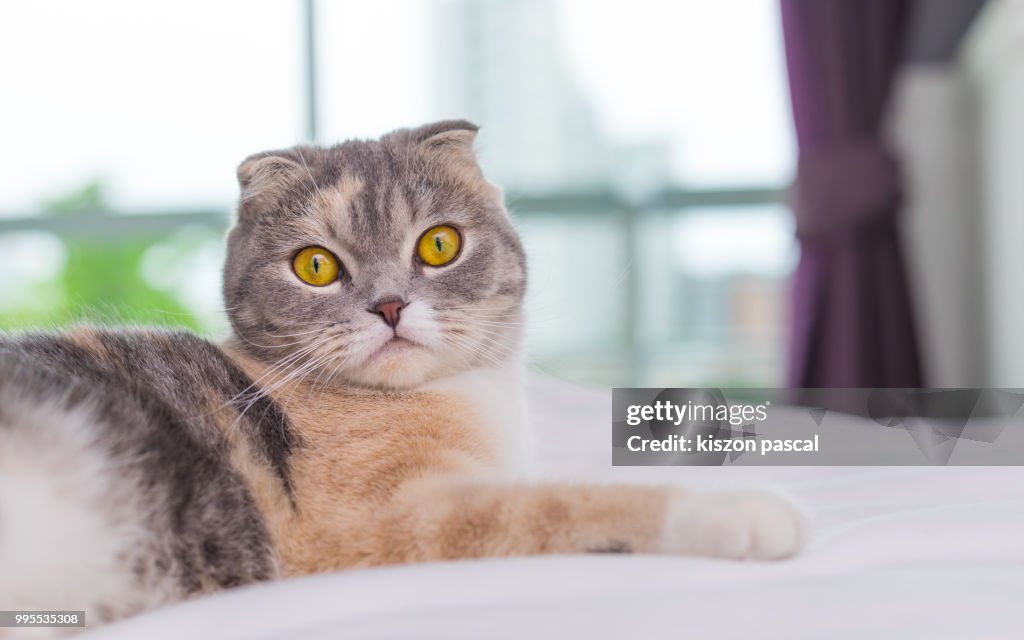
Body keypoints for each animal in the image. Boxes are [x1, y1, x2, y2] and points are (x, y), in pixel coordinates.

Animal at [0, 120, 806, 634]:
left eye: (440, 245)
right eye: (315, 265)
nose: (389, 305)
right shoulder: (390, 518)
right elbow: (571, 503)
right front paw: (737, 510)